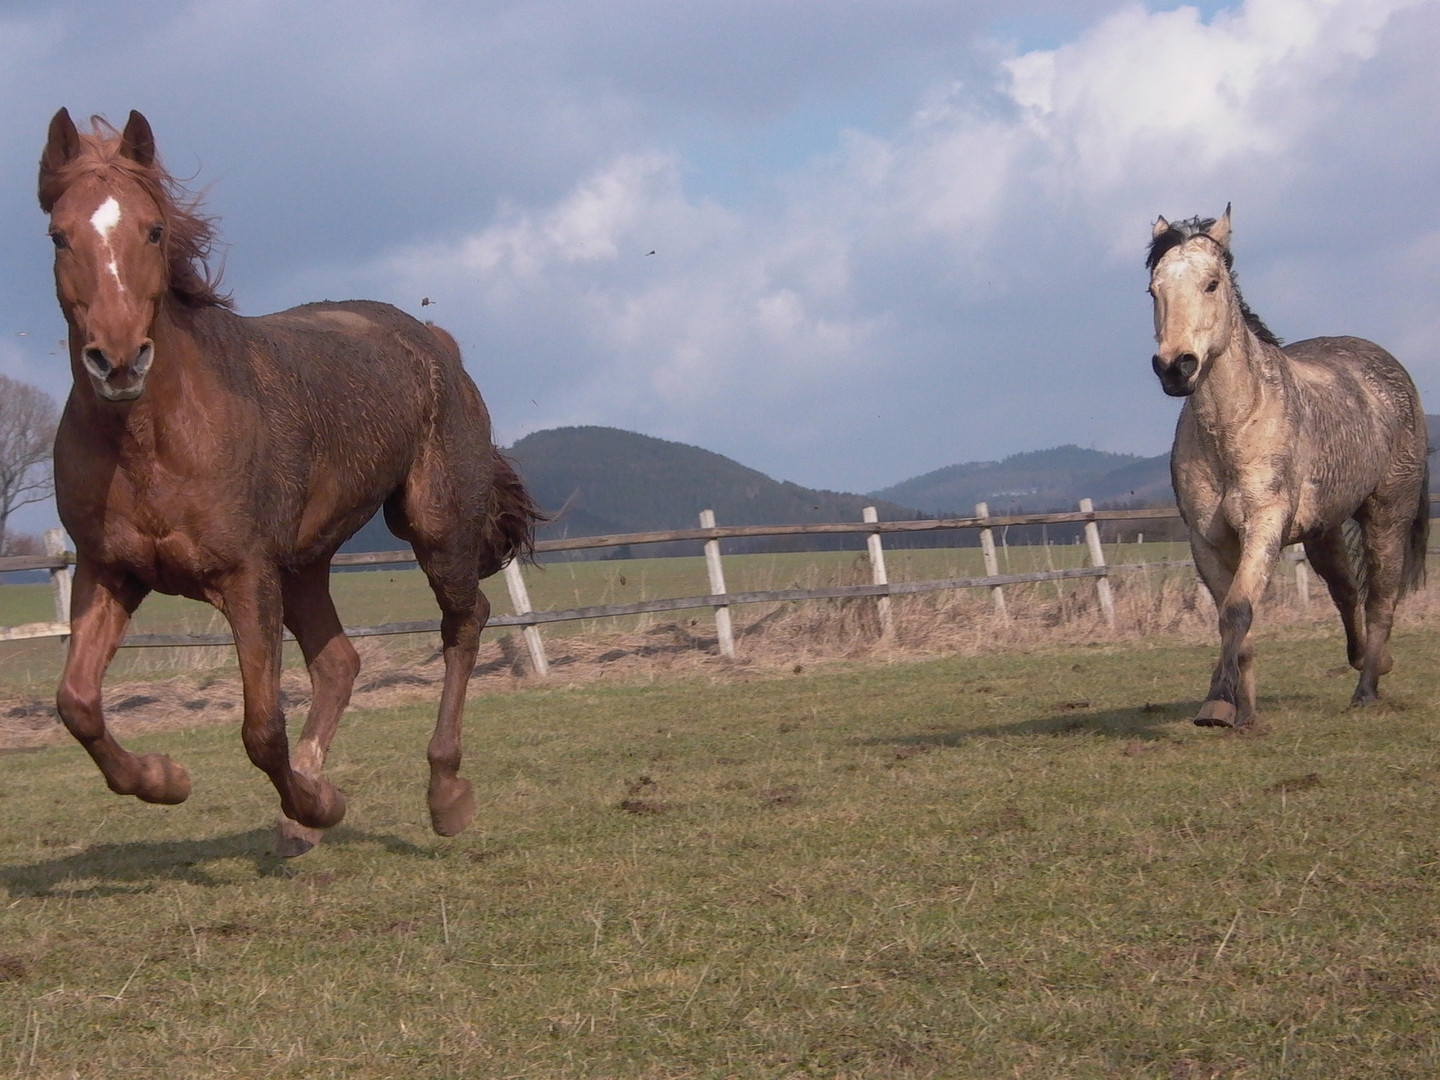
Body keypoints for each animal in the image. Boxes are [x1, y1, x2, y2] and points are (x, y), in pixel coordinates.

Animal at [42, 108, 544, 852]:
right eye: (59, 234)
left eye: (153, 229)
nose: (120, 360)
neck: (153, 440)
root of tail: (436, 342)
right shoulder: (109, 570)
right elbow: (76, 703)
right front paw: (167, 779)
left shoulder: (246, 575)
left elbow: (261, 728)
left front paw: (322, 804)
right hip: (307, 561)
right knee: (339, 662)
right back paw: (301, 811)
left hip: (434, 528)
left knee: (465, 622)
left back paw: (443, 791)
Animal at [1146, 204, 1428, 728]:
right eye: (1154, 290)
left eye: (1211, 283)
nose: (1176, 367)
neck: (1236, 427)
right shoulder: (1206, 539)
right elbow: (1233, 620)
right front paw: (1243, 712)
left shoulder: (1264, 525)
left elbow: (1237, 610)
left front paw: (1217, 706)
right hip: (1323, 530)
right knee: (1344, 589)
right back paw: (1370, 661)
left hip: (1387, 514)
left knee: (1380, 596)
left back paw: (1366, 688)